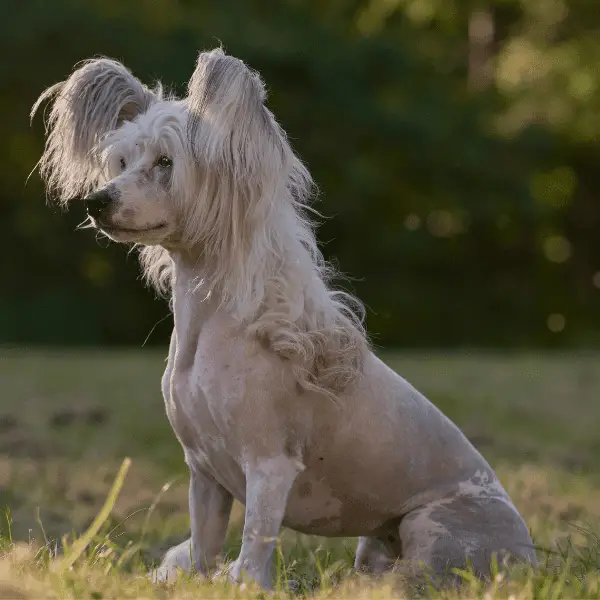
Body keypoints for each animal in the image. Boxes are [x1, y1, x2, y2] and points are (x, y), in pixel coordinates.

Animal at [31, 49, 540, 588]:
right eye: (122, 162)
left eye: (166, 163)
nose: (95, 201)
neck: (208, 327)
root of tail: (530, 553)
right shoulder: (204, 475)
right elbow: (204, 546)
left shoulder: (269, 467)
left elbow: (255, 541)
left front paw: (244, 585)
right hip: (373, 544)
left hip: (432, 527)